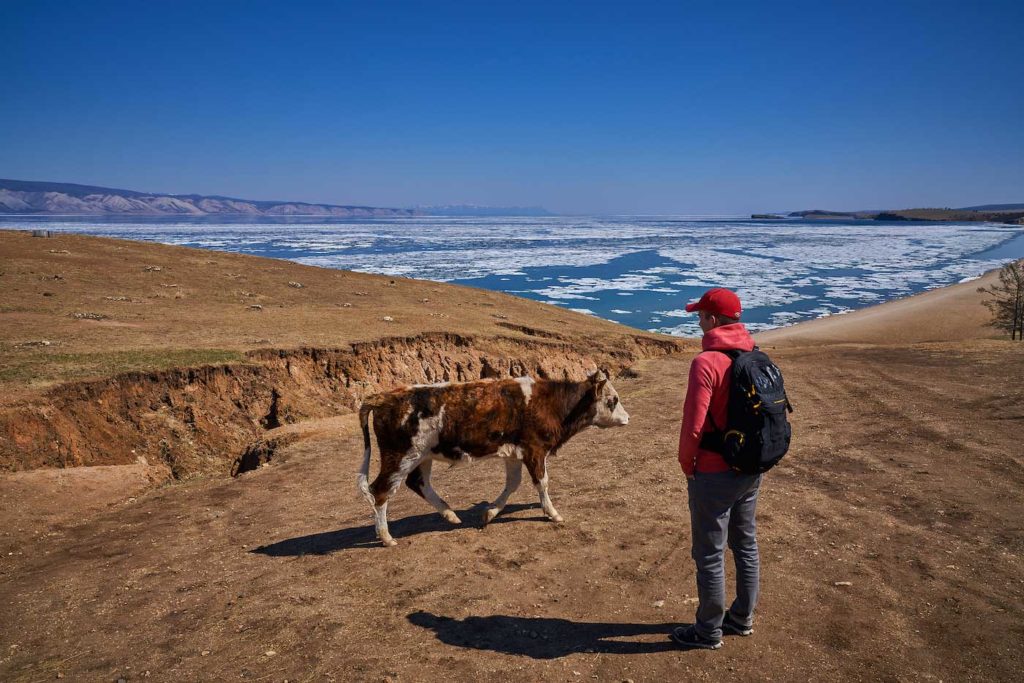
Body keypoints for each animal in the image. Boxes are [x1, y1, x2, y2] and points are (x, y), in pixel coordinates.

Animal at [356, 370, 626, 548]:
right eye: (612, 400)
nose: (628, 418)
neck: (550, 402)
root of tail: (383, 397)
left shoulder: (514, 453)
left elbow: (512, 484)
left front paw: (490, 513)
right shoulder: (535, 450)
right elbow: (542, 483)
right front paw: (553, 513)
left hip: (422, 456)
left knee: (418, 483)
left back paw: (450, 514)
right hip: (400, 455)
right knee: (381, 490)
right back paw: (386, 537)